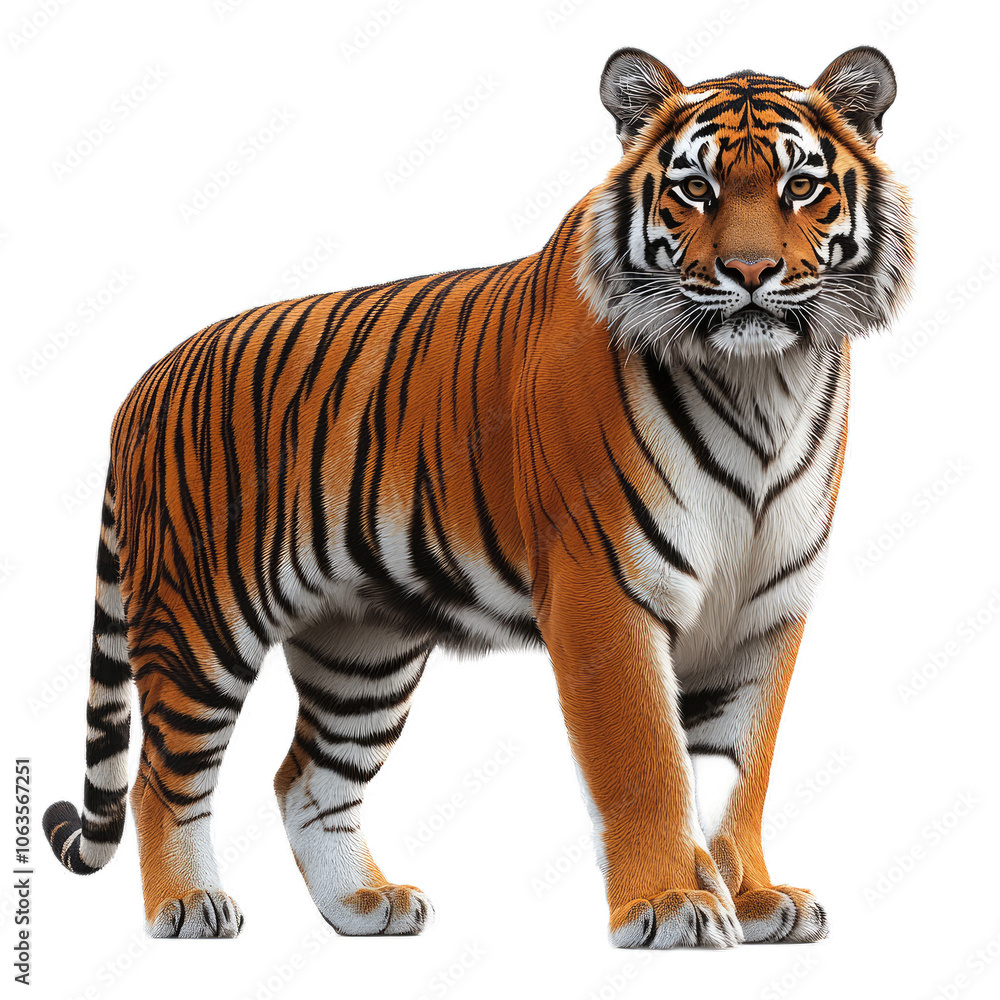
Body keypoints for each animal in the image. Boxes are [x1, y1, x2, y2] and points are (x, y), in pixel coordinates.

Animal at [43, 44, 913, 948]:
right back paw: (187, 905)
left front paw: (753, 897)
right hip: (199, 620)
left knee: (308, 778)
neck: (761, 383)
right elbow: (647, 762)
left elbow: (743, 770)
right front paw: (673, 903)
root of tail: (143, 386)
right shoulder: (605, 594)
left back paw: (365, 904)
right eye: (695, 188)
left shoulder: (765, 610)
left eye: (801, 186)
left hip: (364, 645)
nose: (749, 272)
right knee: (161, 778)